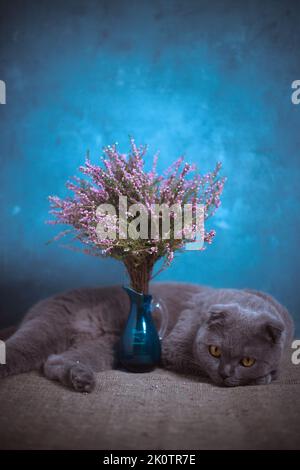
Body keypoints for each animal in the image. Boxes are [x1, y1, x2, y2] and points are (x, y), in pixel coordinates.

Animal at [0, 284, 292, 392]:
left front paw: (266, 375)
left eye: (246, 361)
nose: (224, 374)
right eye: (215, 351)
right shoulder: (173, 348)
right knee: (19, 352)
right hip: (49, 326)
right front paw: (264, 378)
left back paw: (81, 379)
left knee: (53, 361)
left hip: (108, 349)